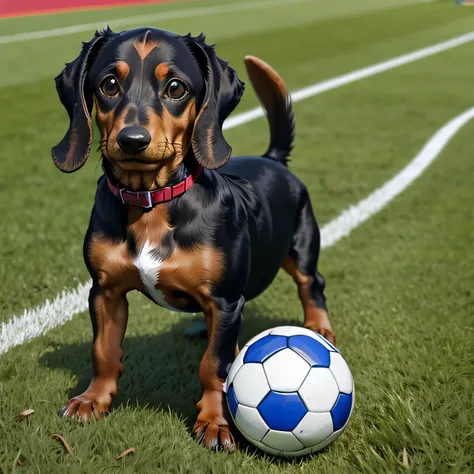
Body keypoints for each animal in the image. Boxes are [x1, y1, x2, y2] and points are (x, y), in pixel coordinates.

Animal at [51, 27, 334, 450]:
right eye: (109, 84)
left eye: (175, 88)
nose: (132, 139)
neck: (150, 201)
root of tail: (272, 158)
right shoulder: (105, 291)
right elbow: (103, 350)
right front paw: (92, 399)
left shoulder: (224, 299)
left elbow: (214, 365)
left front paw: (216, 422)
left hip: (301, 249)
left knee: (311, 283)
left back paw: (319, 326)